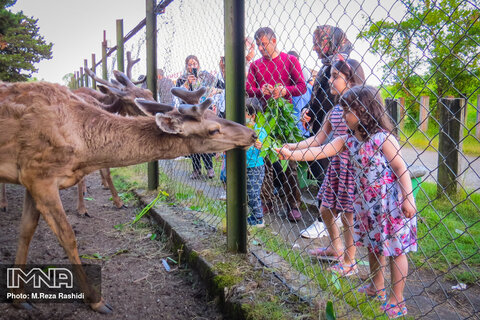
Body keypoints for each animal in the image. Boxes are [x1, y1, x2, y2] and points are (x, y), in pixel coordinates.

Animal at [0, 81, 256, 314]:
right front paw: (96, 300)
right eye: (213, 129)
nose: (252, 134)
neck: (84, 150)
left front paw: (18, 297)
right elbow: (67, 236)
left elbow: (26, 231)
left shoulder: (31, 178)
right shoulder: (40, 175)